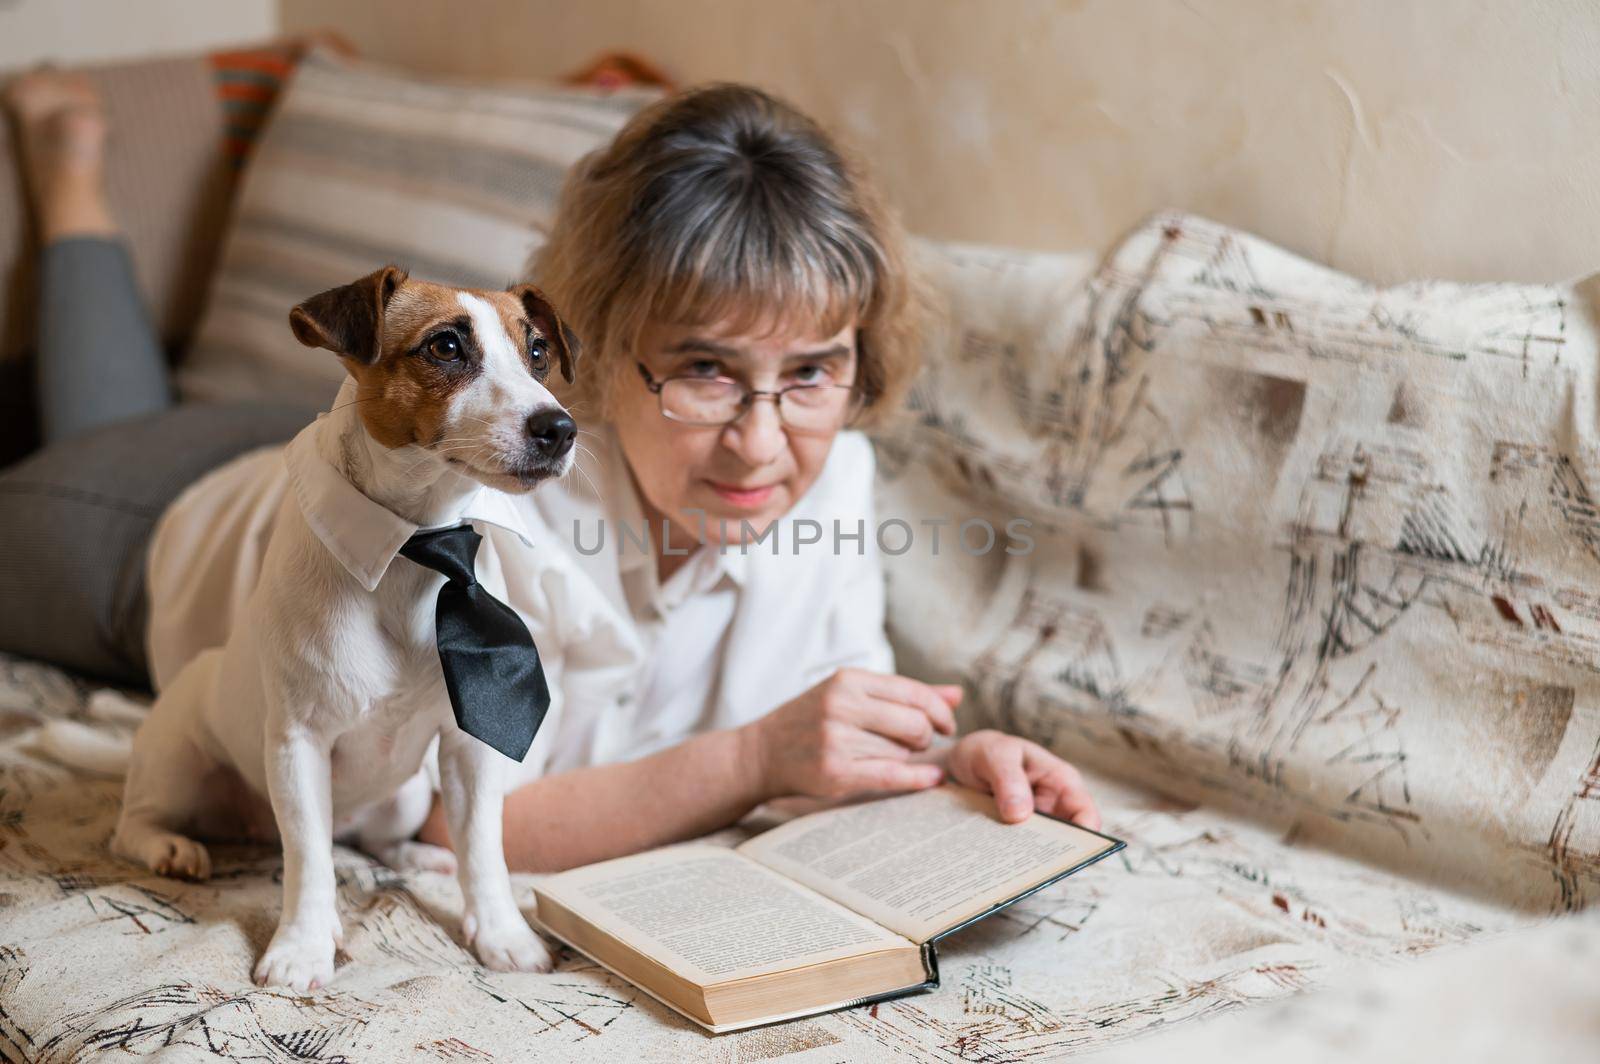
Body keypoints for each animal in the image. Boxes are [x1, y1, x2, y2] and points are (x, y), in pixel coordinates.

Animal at [108, 264, 582, 985]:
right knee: (138, 825)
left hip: (406, 795)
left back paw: (416, 856)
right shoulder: (299, 745)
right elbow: (308, 862)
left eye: (537, 352)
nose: (559, 428)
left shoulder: (468, 750)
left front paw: (502, 932)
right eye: (446, 347)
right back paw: (171, 846)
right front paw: (303, 945)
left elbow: (484, 849)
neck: (419, 542)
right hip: (176, 759)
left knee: (373, 840)